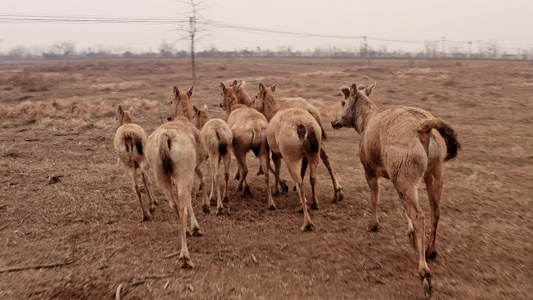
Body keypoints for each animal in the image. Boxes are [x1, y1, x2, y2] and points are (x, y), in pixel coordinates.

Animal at [256, 83, 322, 231]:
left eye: (256, 96)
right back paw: (314, 203)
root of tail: (303, 125)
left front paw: (277, 190)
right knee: (312, 178)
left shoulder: (275, 152)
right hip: (314, 155)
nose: (253, 104)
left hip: (291, 158)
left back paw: (306, 221)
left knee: (300, 184)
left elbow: (277, 167)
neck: (273, 112)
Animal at [330, 82, 460, 298]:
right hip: (433, 173)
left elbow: (375, 197)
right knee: (435, 211)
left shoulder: (370, 171)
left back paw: (424, 273)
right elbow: (402, 207)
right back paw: (431, 250)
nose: (333, 121)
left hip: (407, 176)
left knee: (419, 215)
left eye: (342, 102)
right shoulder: (394, 177)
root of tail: (424, 127)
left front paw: (373, 225)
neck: (365, 121)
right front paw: (410, 234)